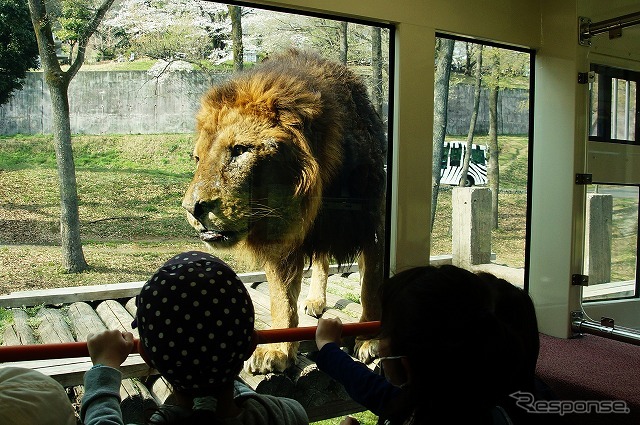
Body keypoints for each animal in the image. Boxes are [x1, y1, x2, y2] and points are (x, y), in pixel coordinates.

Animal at [182, 48, 388, 372]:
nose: (191, 208)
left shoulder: (373, 226)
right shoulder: (279, 238)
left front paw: (369, 337)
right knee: (321, 261)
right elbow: (281, 298)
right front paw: (278, 349)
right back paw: (315, 300)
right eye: (197, 158)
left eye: (240, 150)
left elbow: (370, 286)